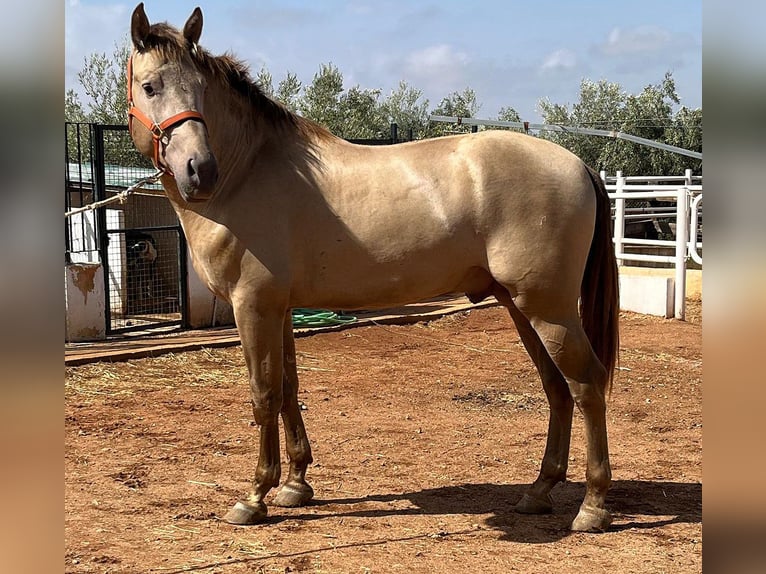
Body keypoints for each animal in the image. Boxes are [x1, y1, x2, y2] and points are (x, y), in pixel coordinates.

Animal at [129, 3, 620, 536]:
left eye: (200, 89)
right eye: (150, 86)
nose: (200, 171)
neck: (247, 172)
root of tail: (578, 164)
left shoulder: (252, 306)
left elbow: (263, 395)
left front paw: (255, 496)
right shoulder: (279, 309)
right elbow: (288, 389)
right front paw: (295, 485)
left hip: (549, 309)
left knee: (587, 384)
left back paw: (593, 505)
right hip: (522, 306)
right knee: (557, 388)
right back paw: (538, 491)